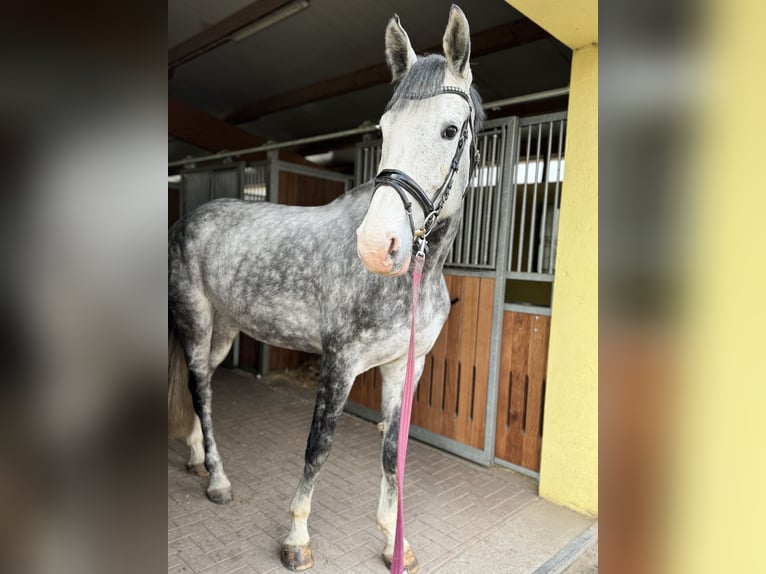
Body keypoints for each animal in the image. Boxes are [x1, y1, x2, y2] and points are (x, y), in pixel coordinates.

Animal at [168, 6, 484, 572]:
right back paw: (219, 480)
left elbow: (392, 452)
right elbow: (319, 446)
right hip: (196, 319)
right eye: (383, 127)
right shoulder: (340, 362)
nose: (379, 245)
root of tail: (189, 220)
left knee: (196, 385)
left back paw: (198, 458)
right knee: (201, 389)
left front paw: (395, 541)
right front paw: (296, 537)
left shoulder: (405, 365)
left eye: (451, 130)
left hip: (224, 328)